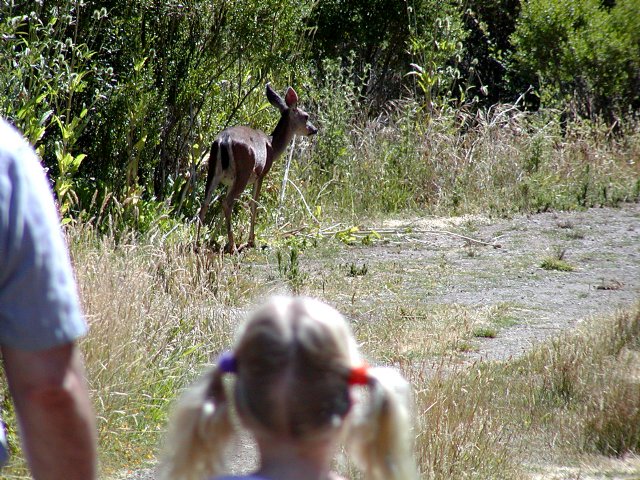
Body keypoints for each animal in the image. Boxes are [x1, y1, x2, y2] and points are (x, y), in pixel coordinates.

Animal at [197, 83, 317, 253]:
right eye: (306, 116)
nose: (314, 129)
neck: (272, 145)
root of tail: (223, 140)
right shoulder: (262, 174)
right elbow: (254, 204)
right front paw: (251, 241)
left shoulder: (230, 181)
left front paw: (212, 239)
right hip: (244, 171)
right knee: (227, 203)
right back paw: (233, 246)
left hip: (213, 170)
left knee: (206, 202)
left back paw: (197, 244)